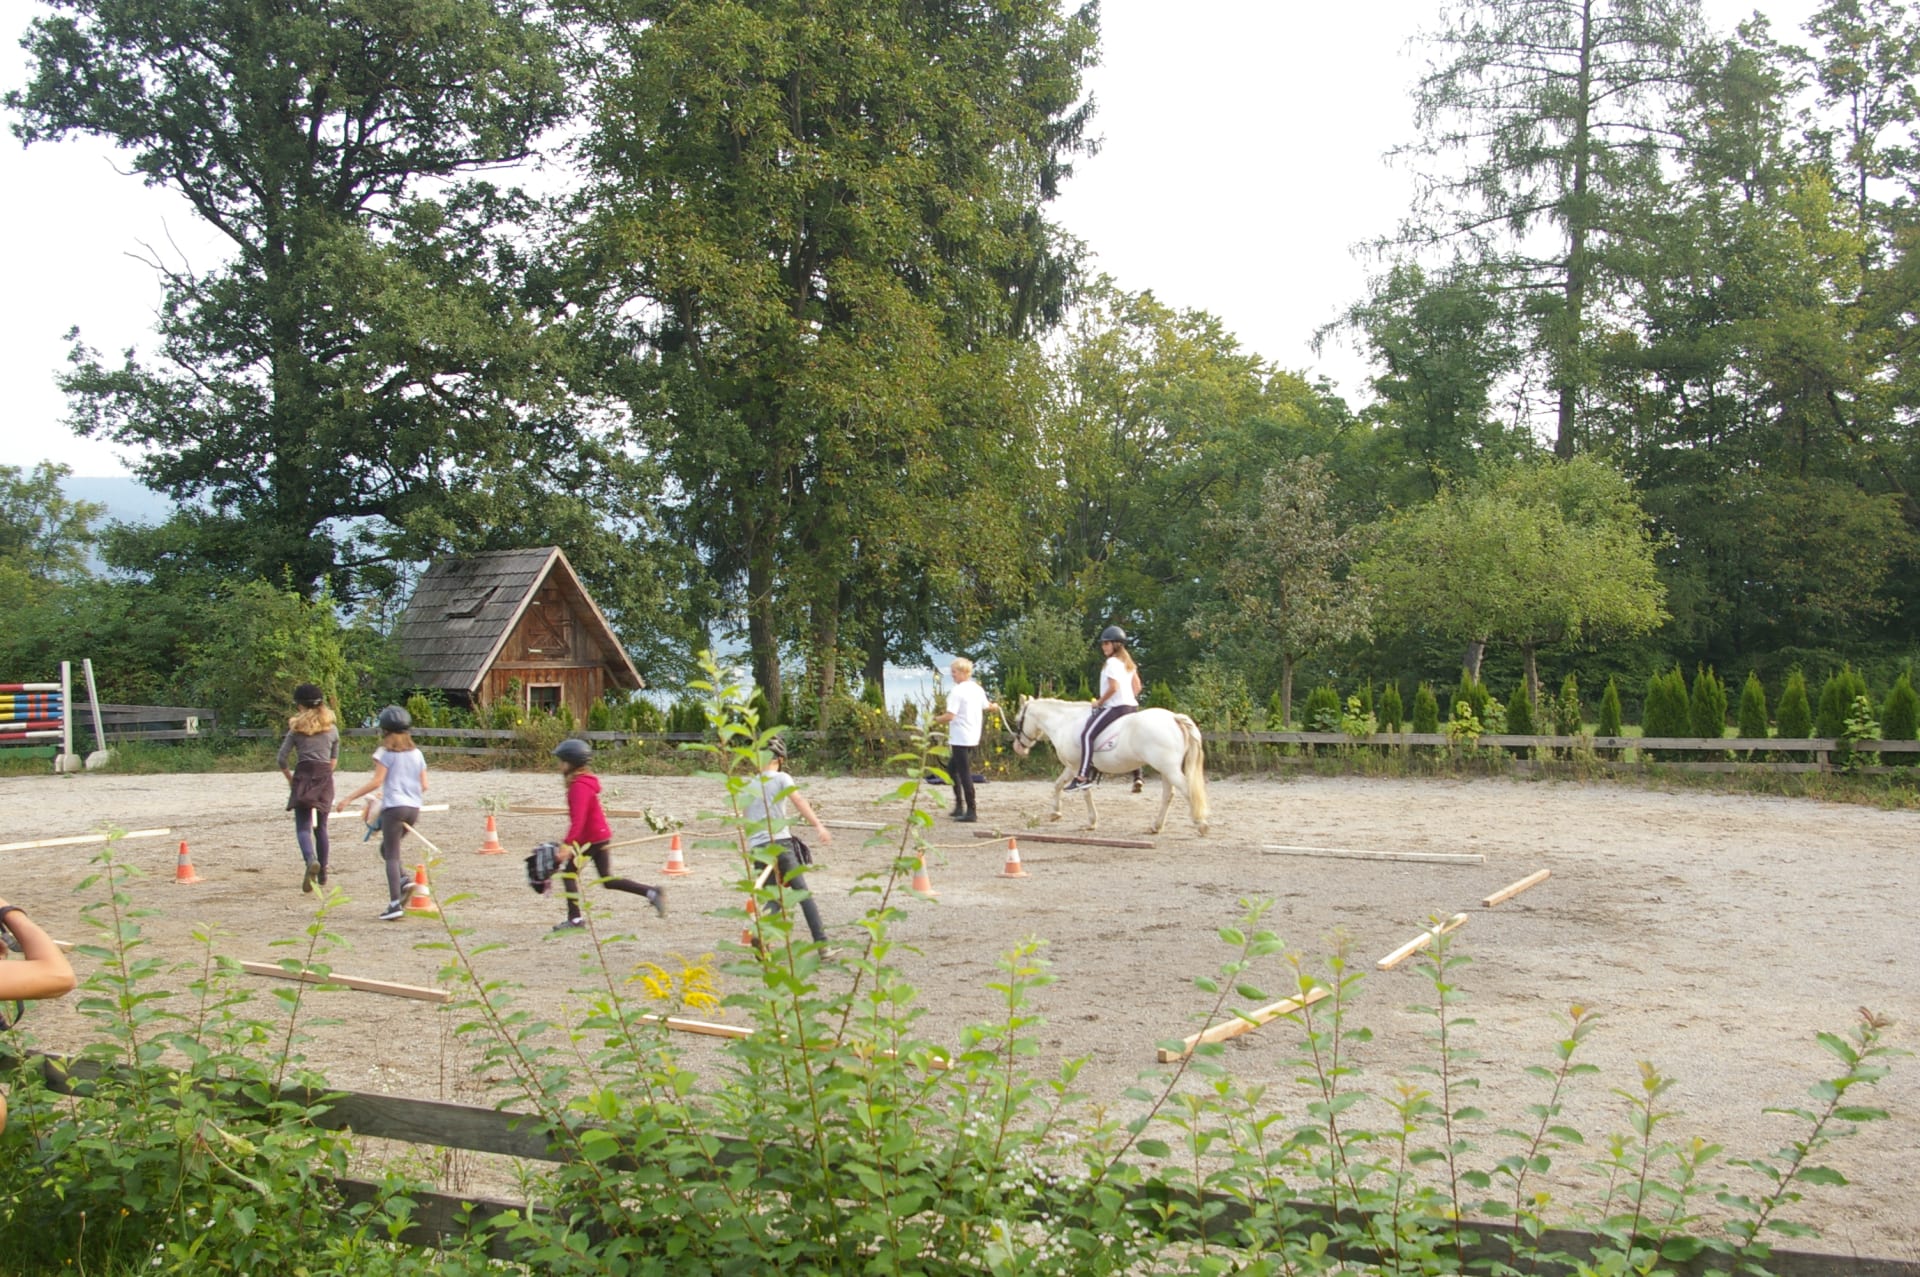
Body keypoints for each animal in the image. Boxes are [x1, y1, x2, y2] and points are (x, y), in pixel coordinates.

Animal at [1009, 696, 1210, 836]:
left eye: (1018, 720)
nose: (1018, 747)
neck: (1065, 723)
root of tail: (1174, 717)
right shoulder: (1073, 768)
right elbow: (1058, 785)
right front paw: (1056, 813)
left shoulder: (1076, 767)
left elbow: (1083, 791)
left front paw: (1091, 821)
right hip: (1165, 770)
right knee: (1168, 795)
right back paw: (1156, 826)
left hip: (1169, 768)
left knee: (1187, 790)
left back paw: (1201, 824)